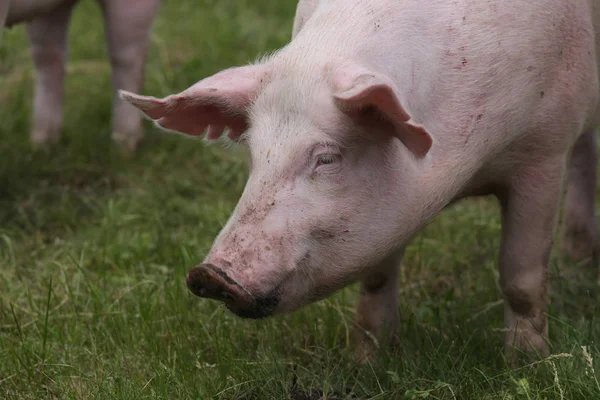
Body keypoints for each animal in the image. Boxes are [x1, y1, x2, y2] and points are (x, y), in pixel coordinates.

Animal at [0, 0, 162, 150]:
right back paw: (41, 144)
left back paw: (123, 148)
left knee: (126, 58)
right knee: (49, 56)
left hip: (132, 8)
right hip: (49, 10)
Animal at [120, 0, 600, 362]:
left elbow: (521, 275)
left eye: (327, 158)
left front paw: (528, 364)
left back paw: (579, 262)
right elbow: (376, 278)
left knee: (586, 156)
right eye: (256, 155)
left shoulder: (544, 151)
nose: (210, 274)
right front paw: (366, 361)